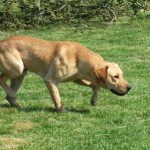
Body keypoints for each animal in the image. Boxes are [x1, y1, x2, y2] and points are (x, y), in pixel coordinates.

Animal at [0, 35, 131, 111]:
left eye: (122, 75)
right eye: (115, 77)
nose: (129, 87)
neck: (79, 59)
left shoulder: (77, 79)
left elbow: (96, 85)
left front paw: (94, 99)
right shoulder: (50, 80)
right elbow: (56, 96)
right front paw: (61, 110)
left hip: (20, 74)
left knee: (8, 96)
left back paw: (18, 106)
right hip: (17, 68)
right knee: (2, 79)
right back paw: (12, 94)